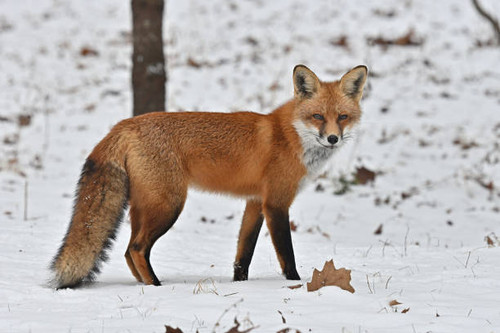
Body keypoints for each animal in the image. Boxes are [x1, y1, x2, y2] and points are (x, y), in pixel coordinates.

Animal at [51, 65, 368, 288]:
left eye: (342, 117)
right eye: (317, 116)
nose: (332, 139)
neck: (290, 136)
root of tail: (124, 124)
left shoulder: (255, 202)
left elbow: (243, 256)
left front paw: (241, 286)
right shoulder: (276, 203)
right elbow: (286, 256)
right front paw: (295, 284)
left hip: (146, 206)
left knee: (128, 251)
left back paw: (144, 284)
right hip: (169, 206)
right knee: (138, 249)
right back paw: (156, 286)